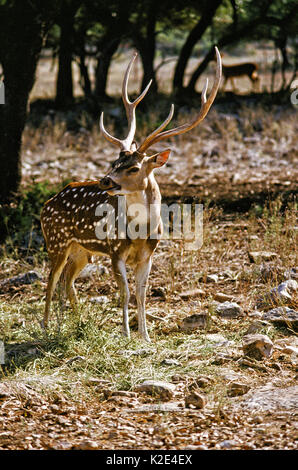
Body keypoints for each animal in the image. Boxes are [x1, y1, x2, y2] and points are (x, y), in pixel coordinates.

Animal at [40, 46, 221, 342]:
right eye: (114, 162)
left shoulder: (149, 254)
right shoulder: (115, 250)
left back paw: (75, 323)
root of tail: (47, 204)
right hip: (56, 240)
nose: (105, 180)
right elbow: (124, 293)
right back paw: (46, 327)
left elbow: (141, 293)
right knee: (51, 278)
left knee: (67, 280)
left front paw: (145, 336)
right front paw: (126, 333)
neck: (139, 232)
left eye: (133, 167)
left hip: (81, 250)